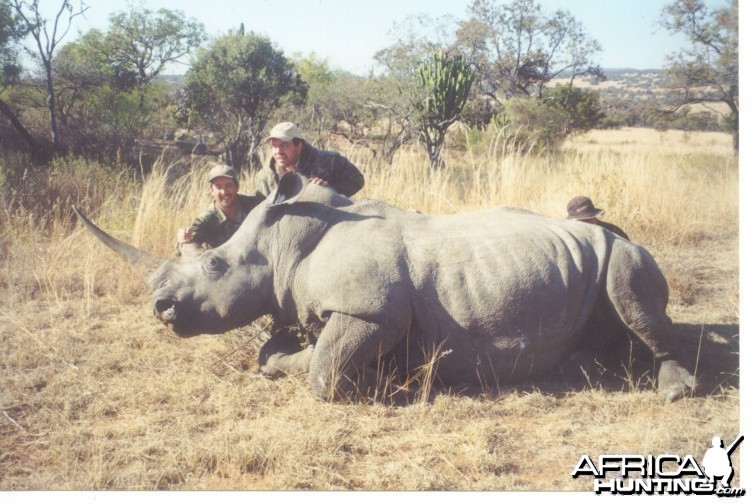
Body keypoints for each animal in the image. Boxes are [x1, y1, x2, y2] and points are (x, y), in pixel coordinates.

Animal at [74, 173, 692, 402]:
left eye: (216, 266)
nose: (161, 308)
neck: (281, 244)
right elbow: (270, 352)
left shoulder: (372, 312)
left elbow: (325, 372)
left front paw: (383, 377)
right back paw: (586, 370)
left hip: (623, 253)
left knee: (632, 293)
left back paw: (671, 391)